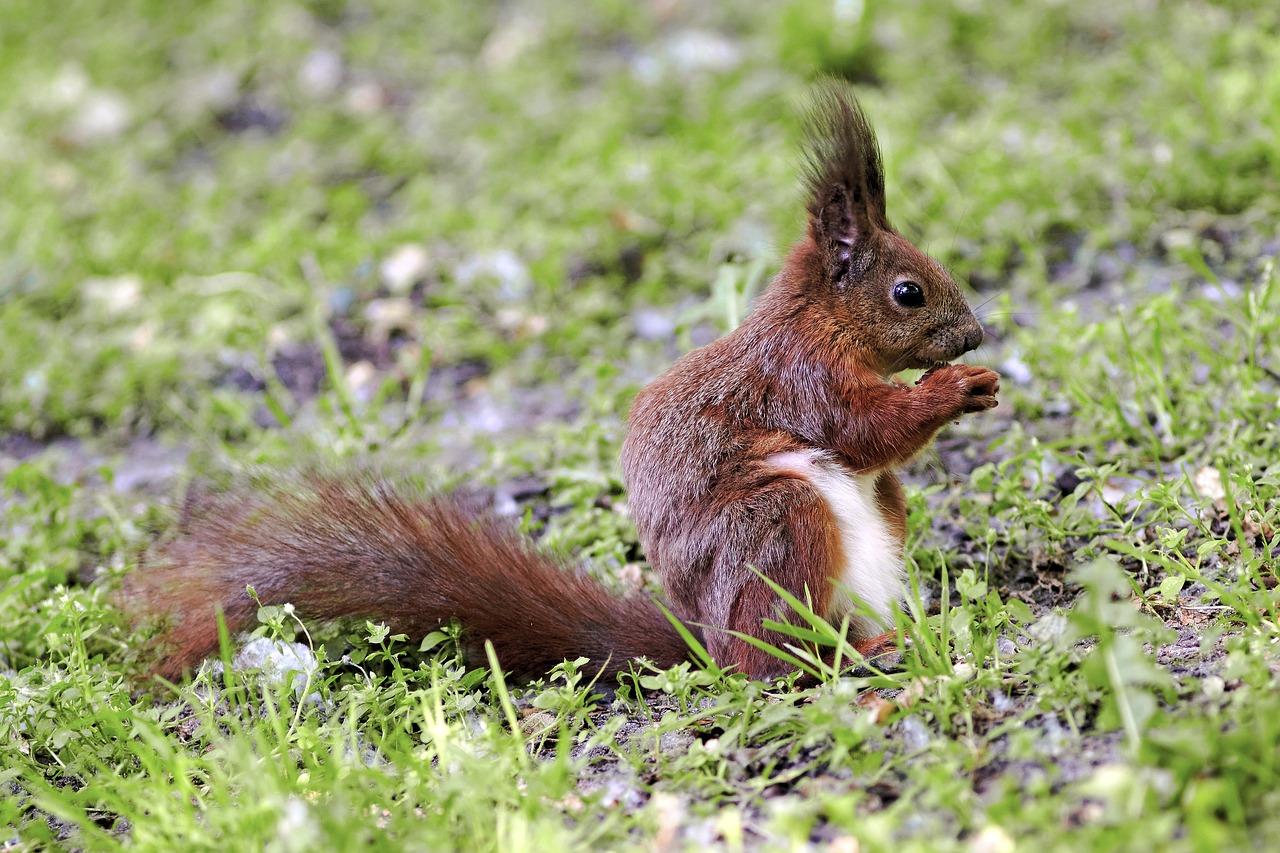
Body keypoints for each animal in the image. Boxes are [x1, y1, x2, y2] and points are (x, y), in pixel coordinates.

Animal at [122, 83, 998, 686]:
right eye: (909, 291)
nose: (974, 337)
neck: (822, 320)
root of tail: (706, 641)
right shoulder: (802, 374)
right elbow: (858, 428)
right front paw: (952, 390)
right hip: (776, 528)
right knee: (774, 658)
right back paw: (848, 657)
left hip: (869, 520)